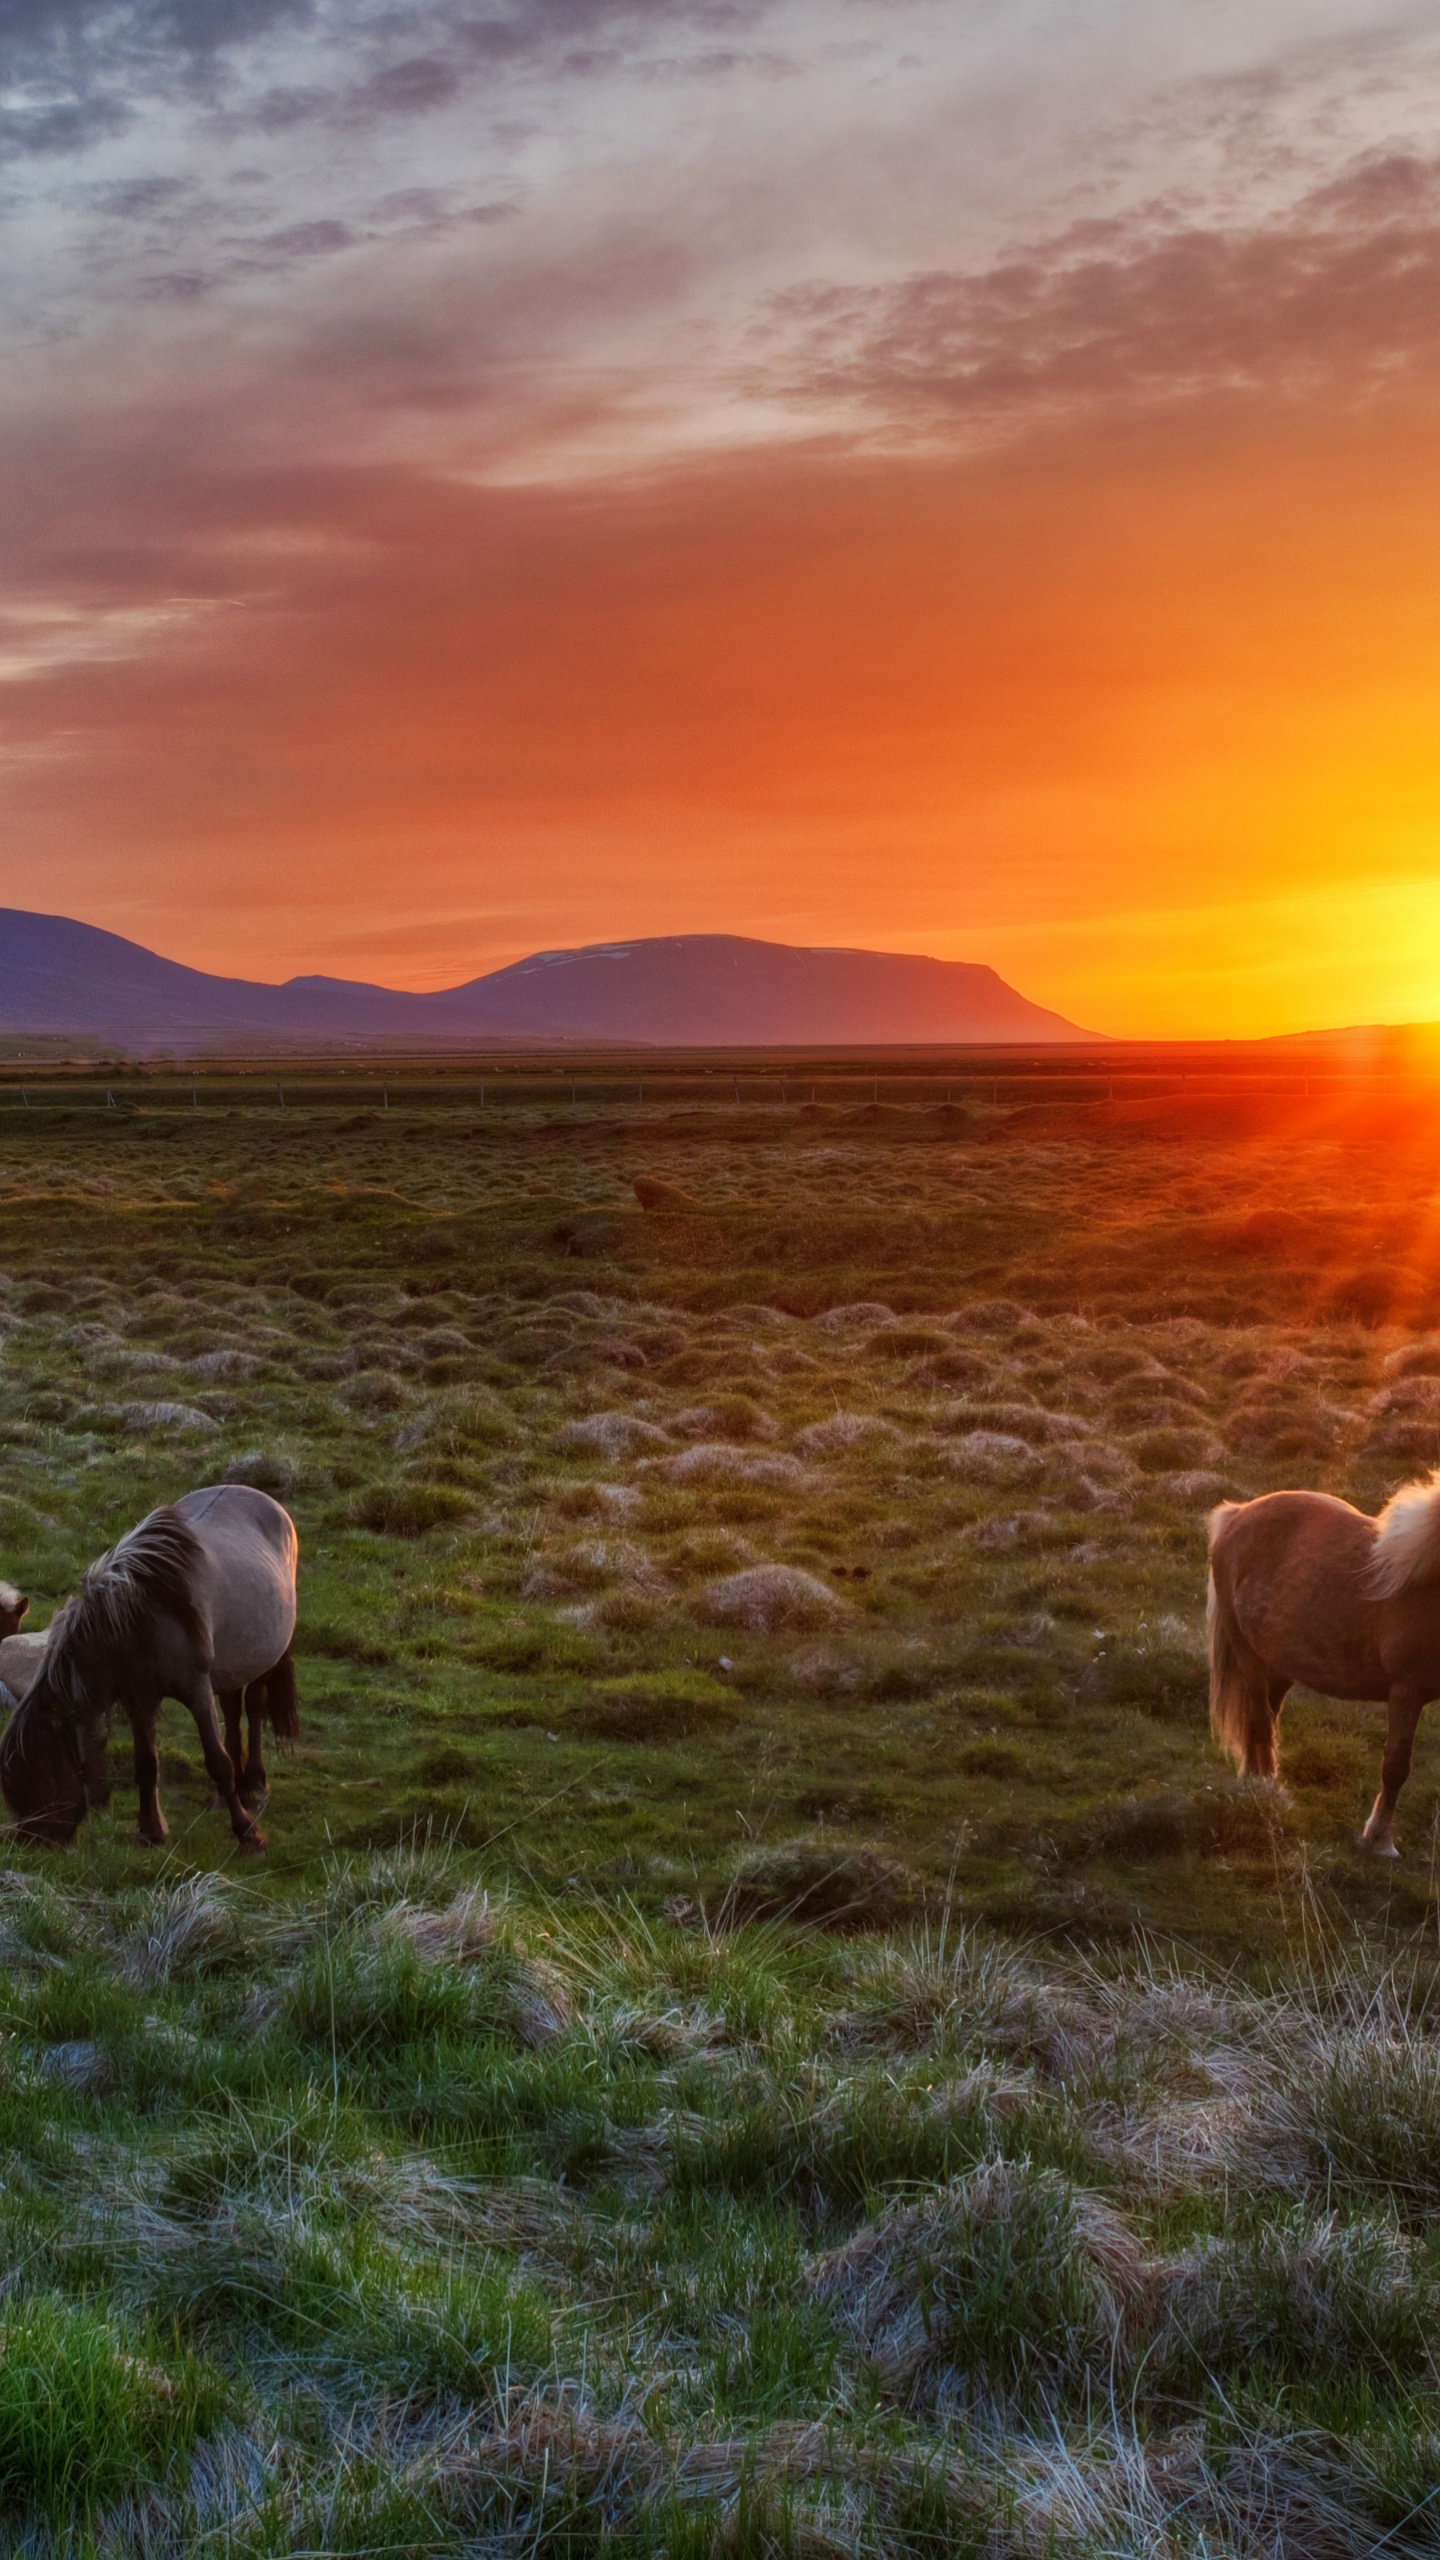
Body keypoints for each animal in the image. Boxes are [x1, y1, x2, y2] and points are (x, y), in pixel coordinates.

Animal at [0, 1484, 295, 1863]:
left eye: (43, 1773)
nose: (29, 1843)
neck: (138, 1620)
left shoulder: (197, 1693)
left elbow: (219, 1763)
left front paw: (248, 1834)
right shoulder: (138, 1700)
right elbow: (146, 1765)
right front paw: (151, 1832)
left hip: (264, 1659)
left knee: (255, 1707)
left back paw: (255, 1783)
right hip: (234, 1664)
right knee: (233, 1709)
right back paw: (228, 1794)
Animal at [1199, 1464, 1440, 1863]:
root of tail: (1237, 1514)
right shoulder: (1407, 1690)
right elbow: (1395, 1766)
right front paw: (1379, 1840)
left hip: (1278, 1665)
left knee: (1263, 1720)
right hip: (1248, 1656)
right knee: (1260, 1722)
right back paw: (1270, 1794)